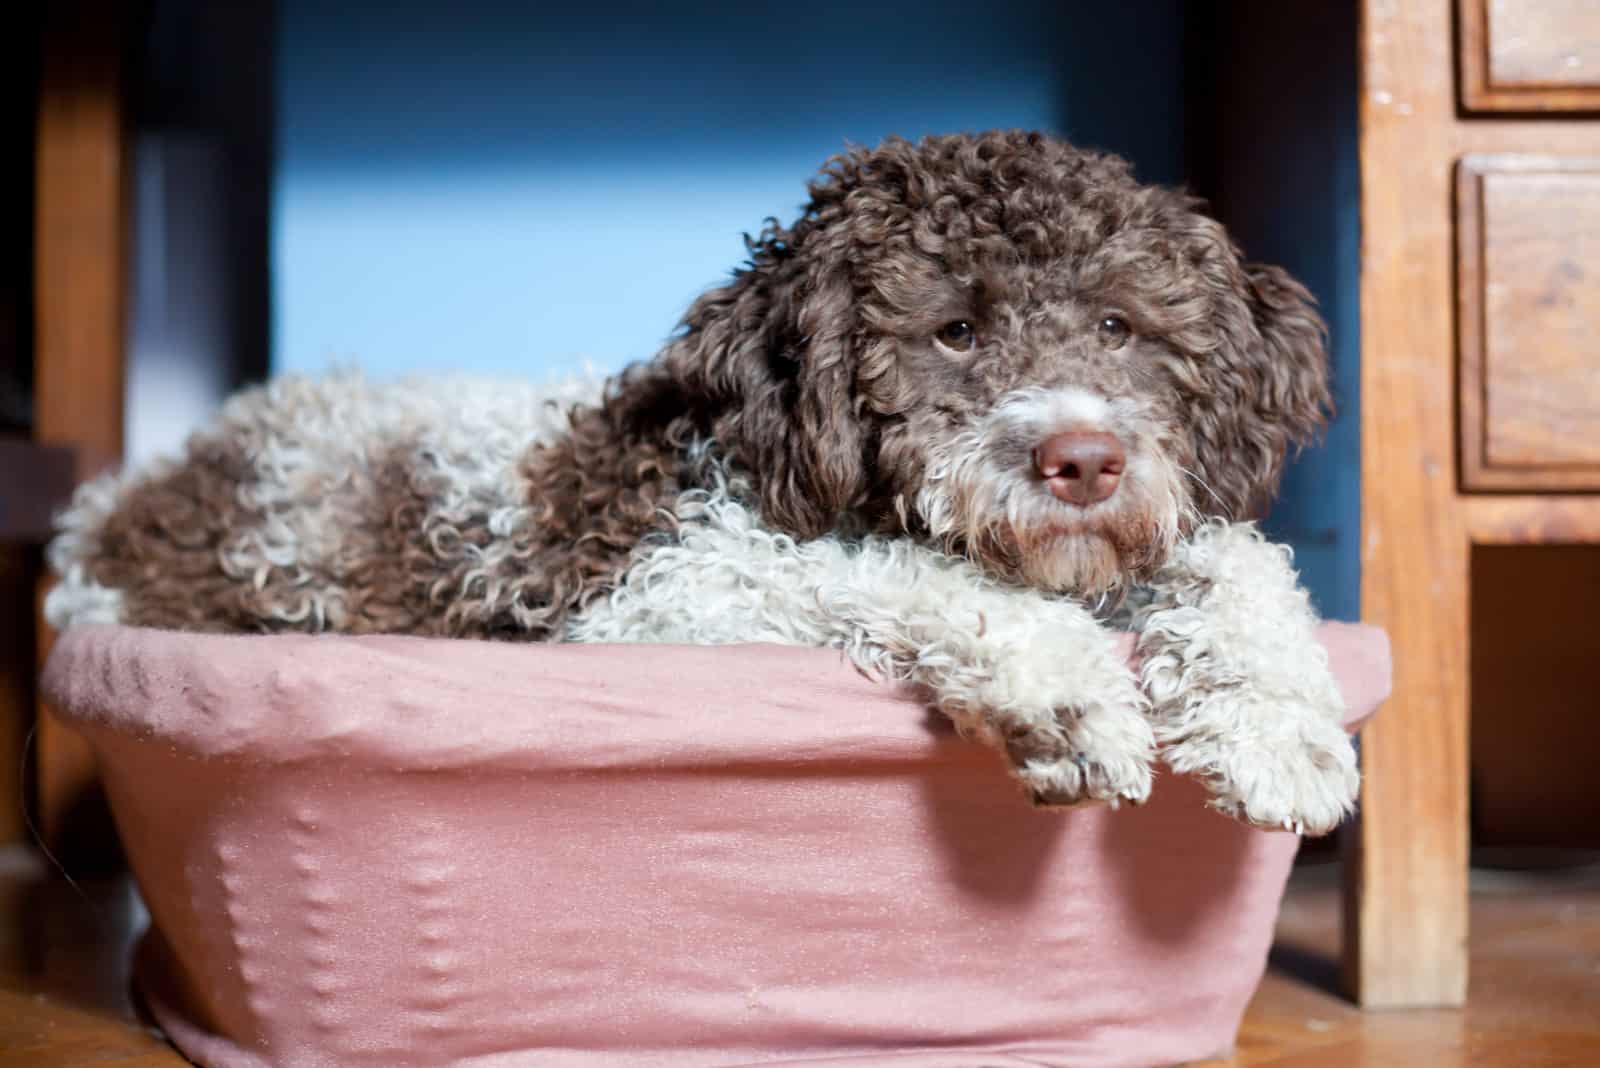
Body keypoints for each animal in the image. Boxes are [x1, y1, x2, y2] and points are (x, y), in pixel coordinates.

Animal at [43, 131, 1356, 831]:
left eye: (1120, 324)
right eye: (955, 330)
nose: (1081, 461)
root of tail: (116, 507)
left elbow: (1235, 559)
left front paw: (1281, 728)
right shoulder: (664, 597)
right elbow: (896, 577)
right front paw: (1069, 697)